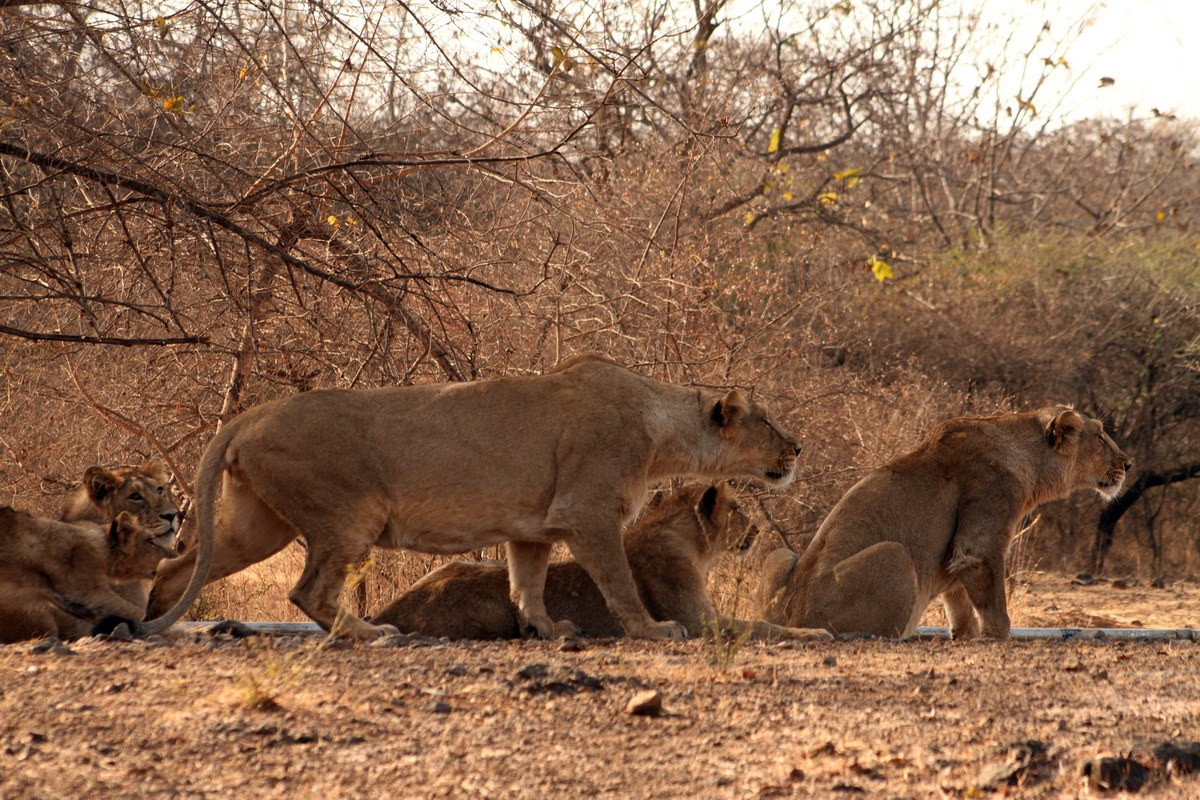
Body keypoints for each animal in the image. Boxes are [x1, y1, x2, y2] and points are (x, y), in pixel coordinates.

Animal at [0, 510, 177, 647]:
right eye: (151, 541)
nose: (175, 555)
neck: (103, 548)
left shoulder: (72, 601)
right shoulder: (89, 594)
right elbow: (137, 614)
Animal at [374, 482, 835, 642]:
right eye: (737, 509)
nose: (755, 530)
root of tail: (389, 609)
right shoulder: (697, 618)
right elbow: (762, 625)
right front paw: (815, 632)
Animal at [753, 402, 1128, 642]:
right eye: (1100, 436)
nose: (1128, 462)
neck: (1031, 461)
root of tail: (792, 616)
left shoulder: (955, 557)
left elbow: (959, 600)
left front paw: (966, 635)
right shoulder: (980, 538)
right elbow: (993, 599)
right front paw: (999, 635)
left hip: (780, 555)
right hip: (895, 554)